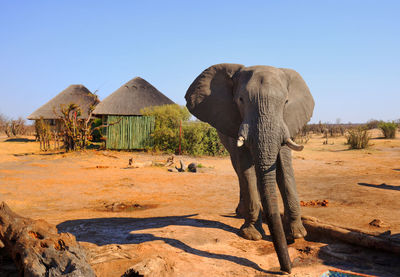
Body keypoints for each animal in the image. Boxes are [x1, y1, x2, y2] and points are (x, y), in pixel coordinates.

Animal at [185, 63, 316, 272]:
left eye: (286, 102)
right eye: (240, 100)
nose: (286, 269)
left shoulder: (287, 121)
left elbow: (284, 166)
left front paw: (297, 234)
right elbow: (246, 167)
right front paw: (252, 235)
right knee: (239, 170)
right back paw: (242, 213)